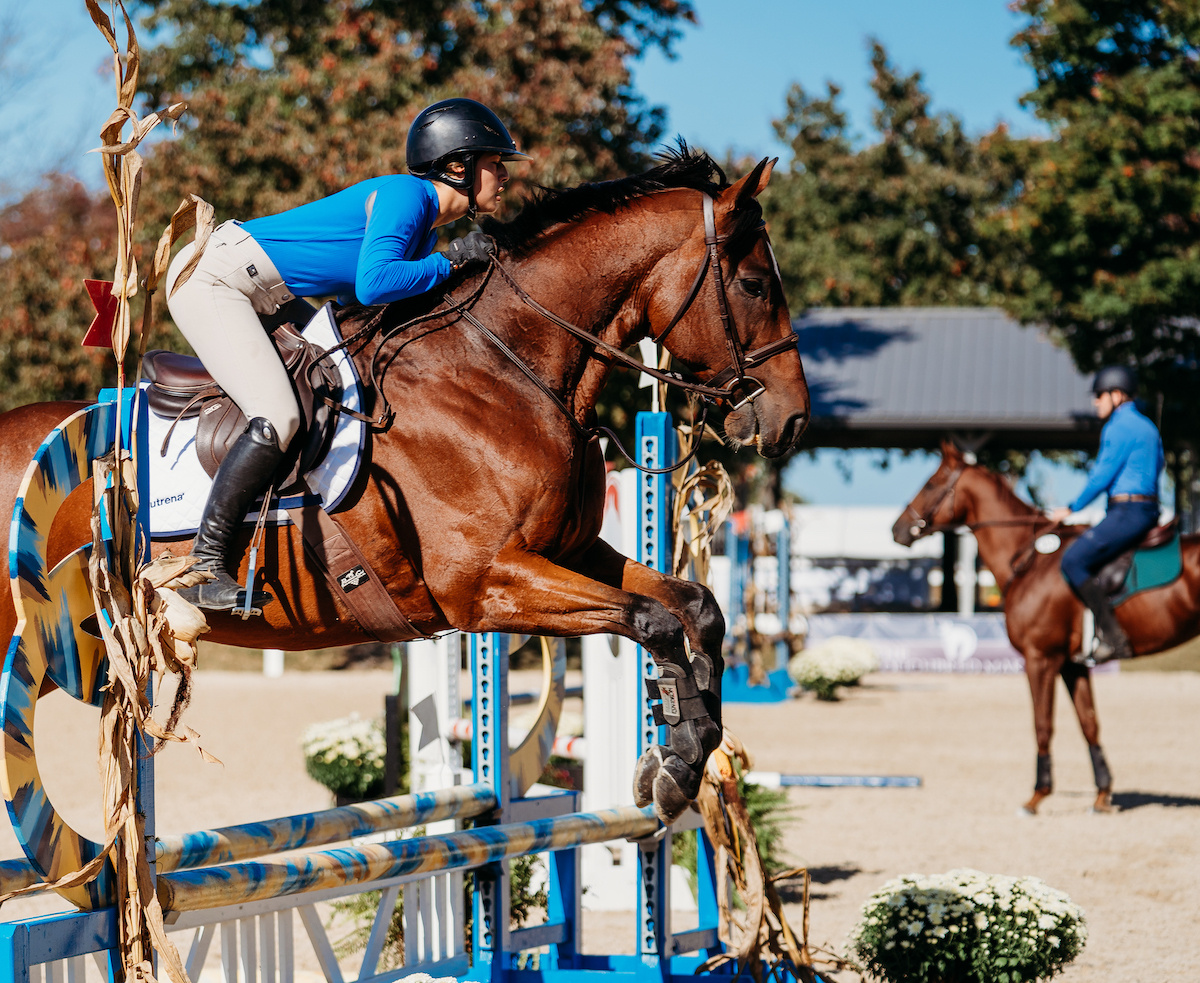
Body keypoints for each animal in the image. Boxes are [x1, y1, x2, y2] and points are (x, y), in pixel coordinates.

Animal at [0, 150, 811, 825]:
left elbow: (694, 606)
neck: (505, 368)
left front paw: (682, 758)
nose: (791, 419)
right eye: (753, 284)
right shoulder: (484, 584)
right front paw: (674, 764)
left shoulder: (570, 552)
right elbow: (651, 620)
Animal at [892, 444, 1200, 816]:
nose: (897, 529)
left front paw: (1037, 796)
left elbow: (1042, 725)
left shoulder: (1040, 659)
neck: (1030, 562)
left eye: (932, 484)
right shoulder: (1072, 664)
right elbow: (1089, 723)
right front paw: (1102, 795)